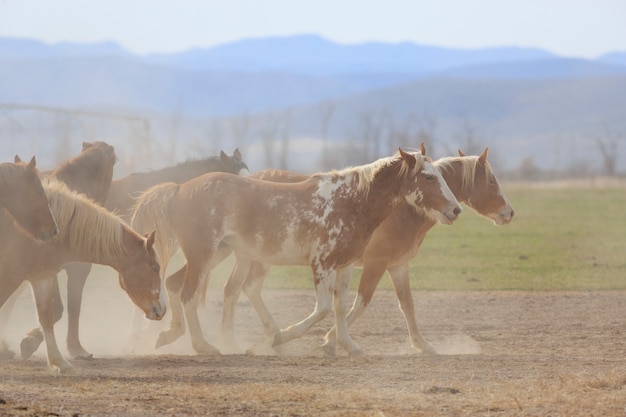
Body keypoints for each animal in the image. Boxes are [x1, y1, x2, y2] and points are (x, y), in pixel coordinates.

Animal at [0, 180, 166, 372]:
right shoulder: (11, 276)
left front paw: (58, 361)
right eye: (155, 268)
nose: (163, 309)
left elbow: (47, 316)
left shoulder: (40, 277)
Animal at [132, 148, 460, 356]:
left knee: (176, 285)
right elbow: (323, 309)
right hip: (204, 257)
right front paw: (280, 337)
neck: (351, 201)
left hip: (215, 256)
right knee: (189, 295)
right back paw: (205, 347)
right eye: (428, 177)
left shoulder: (346, 265)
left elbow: (340, 306)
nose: (455, 209)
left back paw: (171, 335)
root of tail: (179, 189)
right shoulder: (322, 264)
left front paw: (347, 345)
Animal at [223, 146, 512, 354]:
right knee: (248, 288)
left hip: (250, 257)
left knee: (236, 290)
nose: (510, 212)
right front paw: (331, 340)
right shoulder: (375, 263)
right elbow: (360, 304)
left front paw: (422, 345)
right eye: (491, 180)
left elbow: (407, 305)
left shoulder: (397, 266)